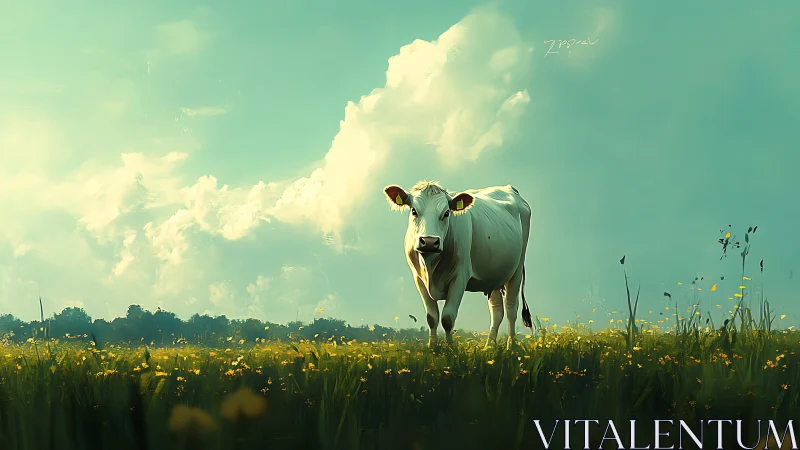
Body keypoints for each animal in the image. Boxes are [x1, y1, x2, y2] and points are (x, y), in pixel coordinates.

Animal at [383, 180, 532, 350]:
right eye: (414, 211)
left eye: (447, 213)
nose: (429, 241)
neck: (430, 265)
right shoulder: (418, 279)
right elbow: (432, 317)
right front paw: (432, 348)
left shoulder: (459, 277)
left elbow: (447, 318)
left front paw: (450, 349)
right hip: (494, 276)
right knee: (497, 311)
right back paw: (489, 346)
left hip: (517, 270)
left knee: (511, 309)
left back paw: (511, 347)